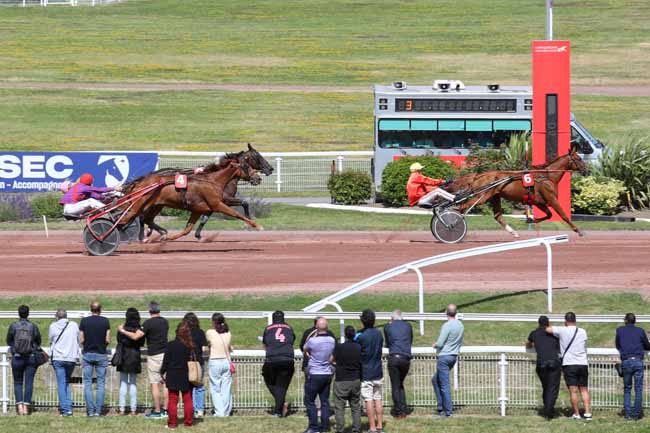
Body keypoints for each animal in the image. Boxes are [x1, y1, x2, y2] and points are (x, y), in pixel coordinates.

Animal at [120, 161, 262, 241]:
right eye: (246, 166)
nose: (258, 178)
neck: (212, 181)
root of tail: (141, 182)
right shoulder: (218, 204)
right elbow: (237, 214)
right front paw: (256, 225)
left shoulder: (199, 209)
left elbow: (188, 229)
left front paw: (170, 237)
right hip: (142, 204)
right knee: (134, 217)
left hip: (156, 206)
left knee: (146, 219)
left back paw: (159, 233)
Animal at [442, 148, 588, 236]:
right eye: (579, 159)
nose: (587, 171)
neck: (546, 177)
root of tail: (479, 175)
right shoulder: (551, 199)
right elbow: (563, 215)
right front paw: (578, 230)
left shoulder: (539, 202)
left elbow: (549, 215)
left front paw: (530, 219)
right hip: (482, 197)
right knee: (462, 207)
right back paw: (452, 225)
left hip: (494, 197)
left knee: (497, 216)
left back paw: (513, 232)